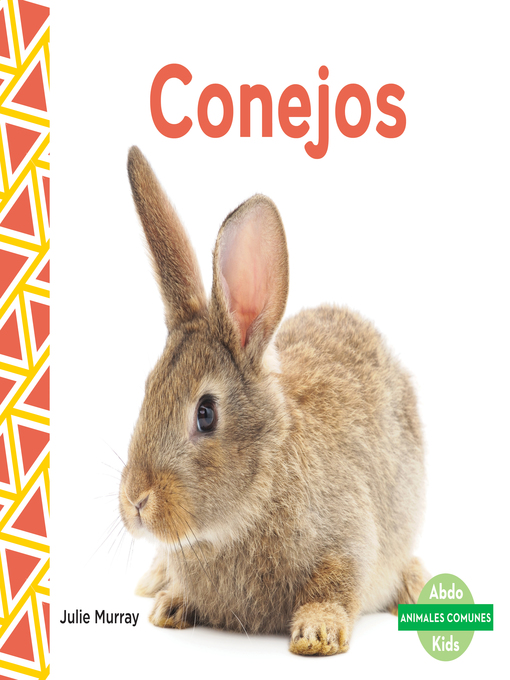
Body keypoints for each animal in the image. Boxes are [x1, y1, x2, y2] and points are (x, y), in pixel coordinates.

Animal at [118, 146, 427, 656]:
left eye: (205, 414)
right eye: (147, 391)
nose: (136, 502)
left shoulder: (349, 541)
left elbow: (335, 584)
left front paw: (317, 635)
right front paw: (171, 605)